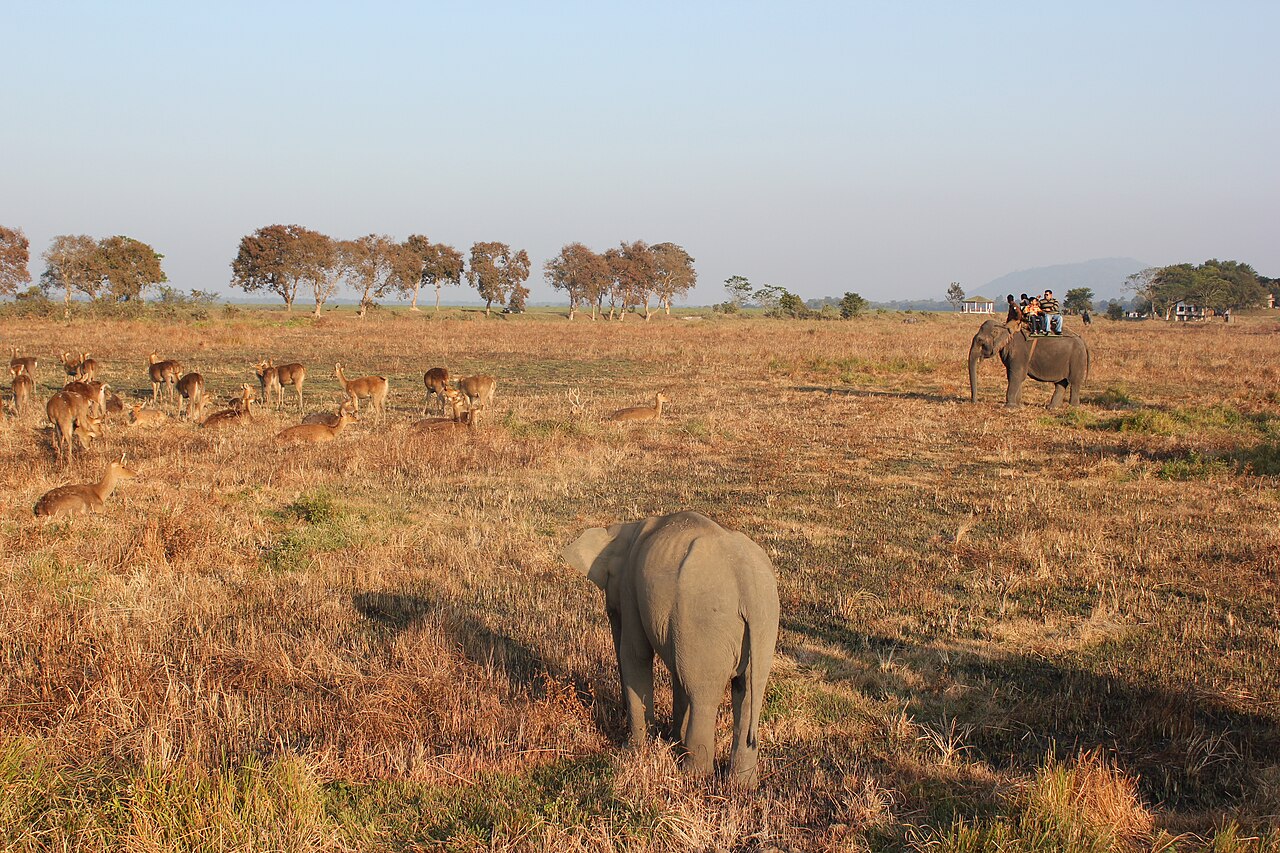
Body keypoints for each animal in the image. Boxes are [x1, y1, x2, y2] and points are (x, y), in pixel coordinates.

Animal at [563, 511, 780, 787]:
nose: (619, 711)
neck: (625, 530)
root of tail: (747, 581)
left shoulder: (632, 589)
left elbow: (636, 655)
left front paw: (632, 750)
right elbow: (677, 670)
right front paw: (674, 741)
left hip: (705, 620)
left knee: (702, 694)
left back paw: (694, 775)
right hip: (764, 626)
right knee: (749, 691)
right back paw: (742, 785)